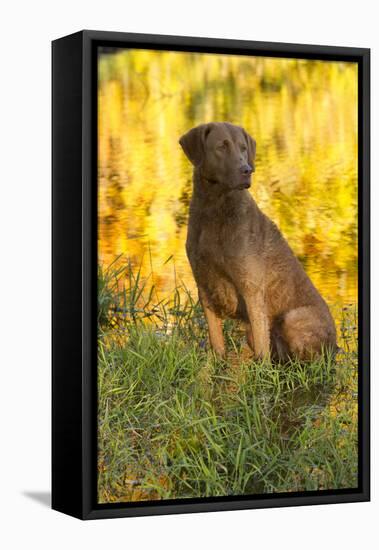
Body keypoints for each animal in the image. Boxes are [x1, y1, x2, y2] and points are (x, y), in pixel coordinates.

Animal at [180, 122, 336, 362]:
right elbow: (217, 342)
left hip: (293, 318)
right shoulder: (204, 286)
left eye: (243, 148)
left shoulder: (251, 288)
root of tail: (337, 345)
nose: (247, 170)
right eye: (222, 146)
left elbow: (262, 349)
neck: (214, 209)